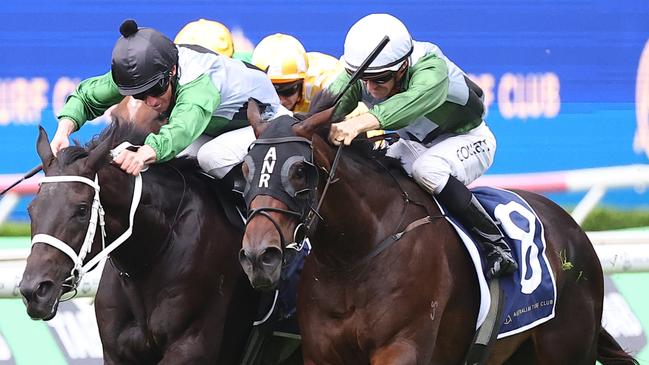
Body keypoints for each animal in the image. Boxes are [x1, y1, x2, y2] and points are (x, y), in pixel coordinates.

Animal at [239, 100, 636, 364]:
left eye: (299, 171)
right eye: (245, 169)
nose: (259, 256)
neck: (354, 258)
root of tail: (572, 229)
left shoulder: (401, 348)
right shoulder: (322, 354)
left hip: (567, 347)